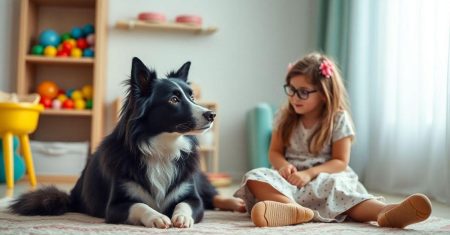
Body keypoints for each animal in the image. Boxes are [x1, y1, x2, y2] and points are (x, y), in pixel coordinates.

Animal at [9, 57, 221, 229]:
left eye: (192, 96)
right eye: (174, 99)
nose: (212, 115)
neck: (162, 147)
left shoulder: (193, 198)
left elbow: (184, 204)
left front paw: (182, 217)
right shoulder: (115, 206)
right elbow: (140, 205)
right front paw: (157, 217)